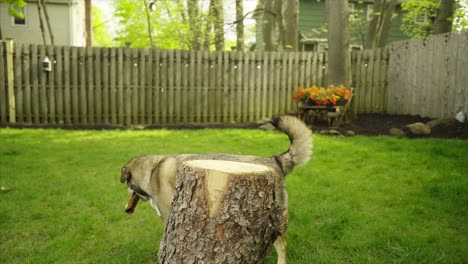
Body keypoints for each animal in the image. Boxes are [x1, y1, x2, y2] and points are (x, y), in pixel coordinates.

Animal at [119, 116, 312, 264]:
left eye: (128, 187)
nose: (125, 208)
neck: (152, 171)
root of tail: (276, 161)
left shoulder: (169, 216)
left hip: (273, 222)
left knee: (282, 244)